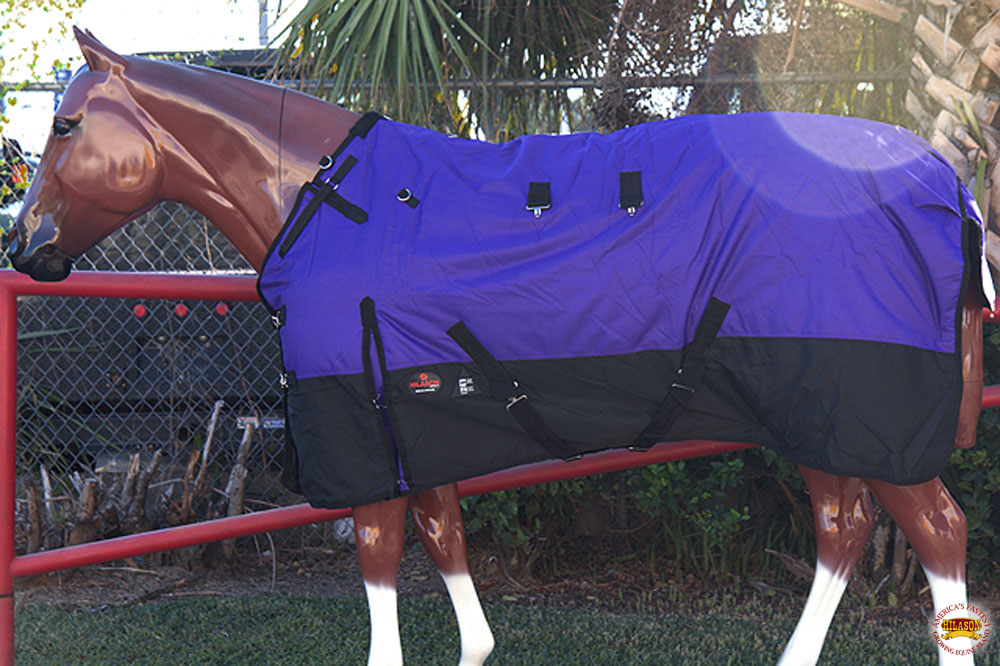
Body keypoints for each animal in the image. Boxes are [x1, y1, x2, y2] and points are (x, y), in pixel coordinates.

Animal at [6, 29, 989, 665]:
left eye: (65, 126)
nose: (26, 249)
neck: (327, 199)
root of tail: (943, 177)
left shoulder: (365, 431)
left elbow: (379, 559)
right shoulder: (414, 415)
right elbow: (444, 541)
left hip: (857, 408)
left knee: (937, 531)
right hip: (824, 416)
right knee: (845, 528)